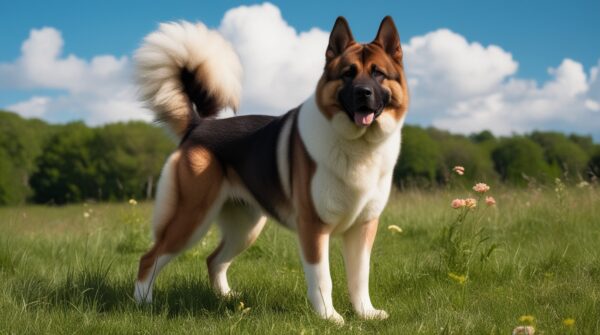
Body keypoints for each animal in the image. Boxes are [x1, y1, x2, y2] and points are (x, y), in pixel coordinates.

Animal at [134, 16, 410, 326]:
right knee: (150, 258)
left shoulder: (364, 227)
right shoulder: (313, 227)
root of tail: (199, 125)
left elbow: (360, 276)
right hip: (191, 217)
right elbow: (322, 278)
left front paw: (366, 313)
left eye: (378, 74)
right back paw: (144, 304)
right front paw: (329, 317)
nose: (364, 93)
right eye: (348, 74)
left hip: (245, 228)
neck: (358, 146)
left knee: (214, 259)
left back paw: (226, 299)